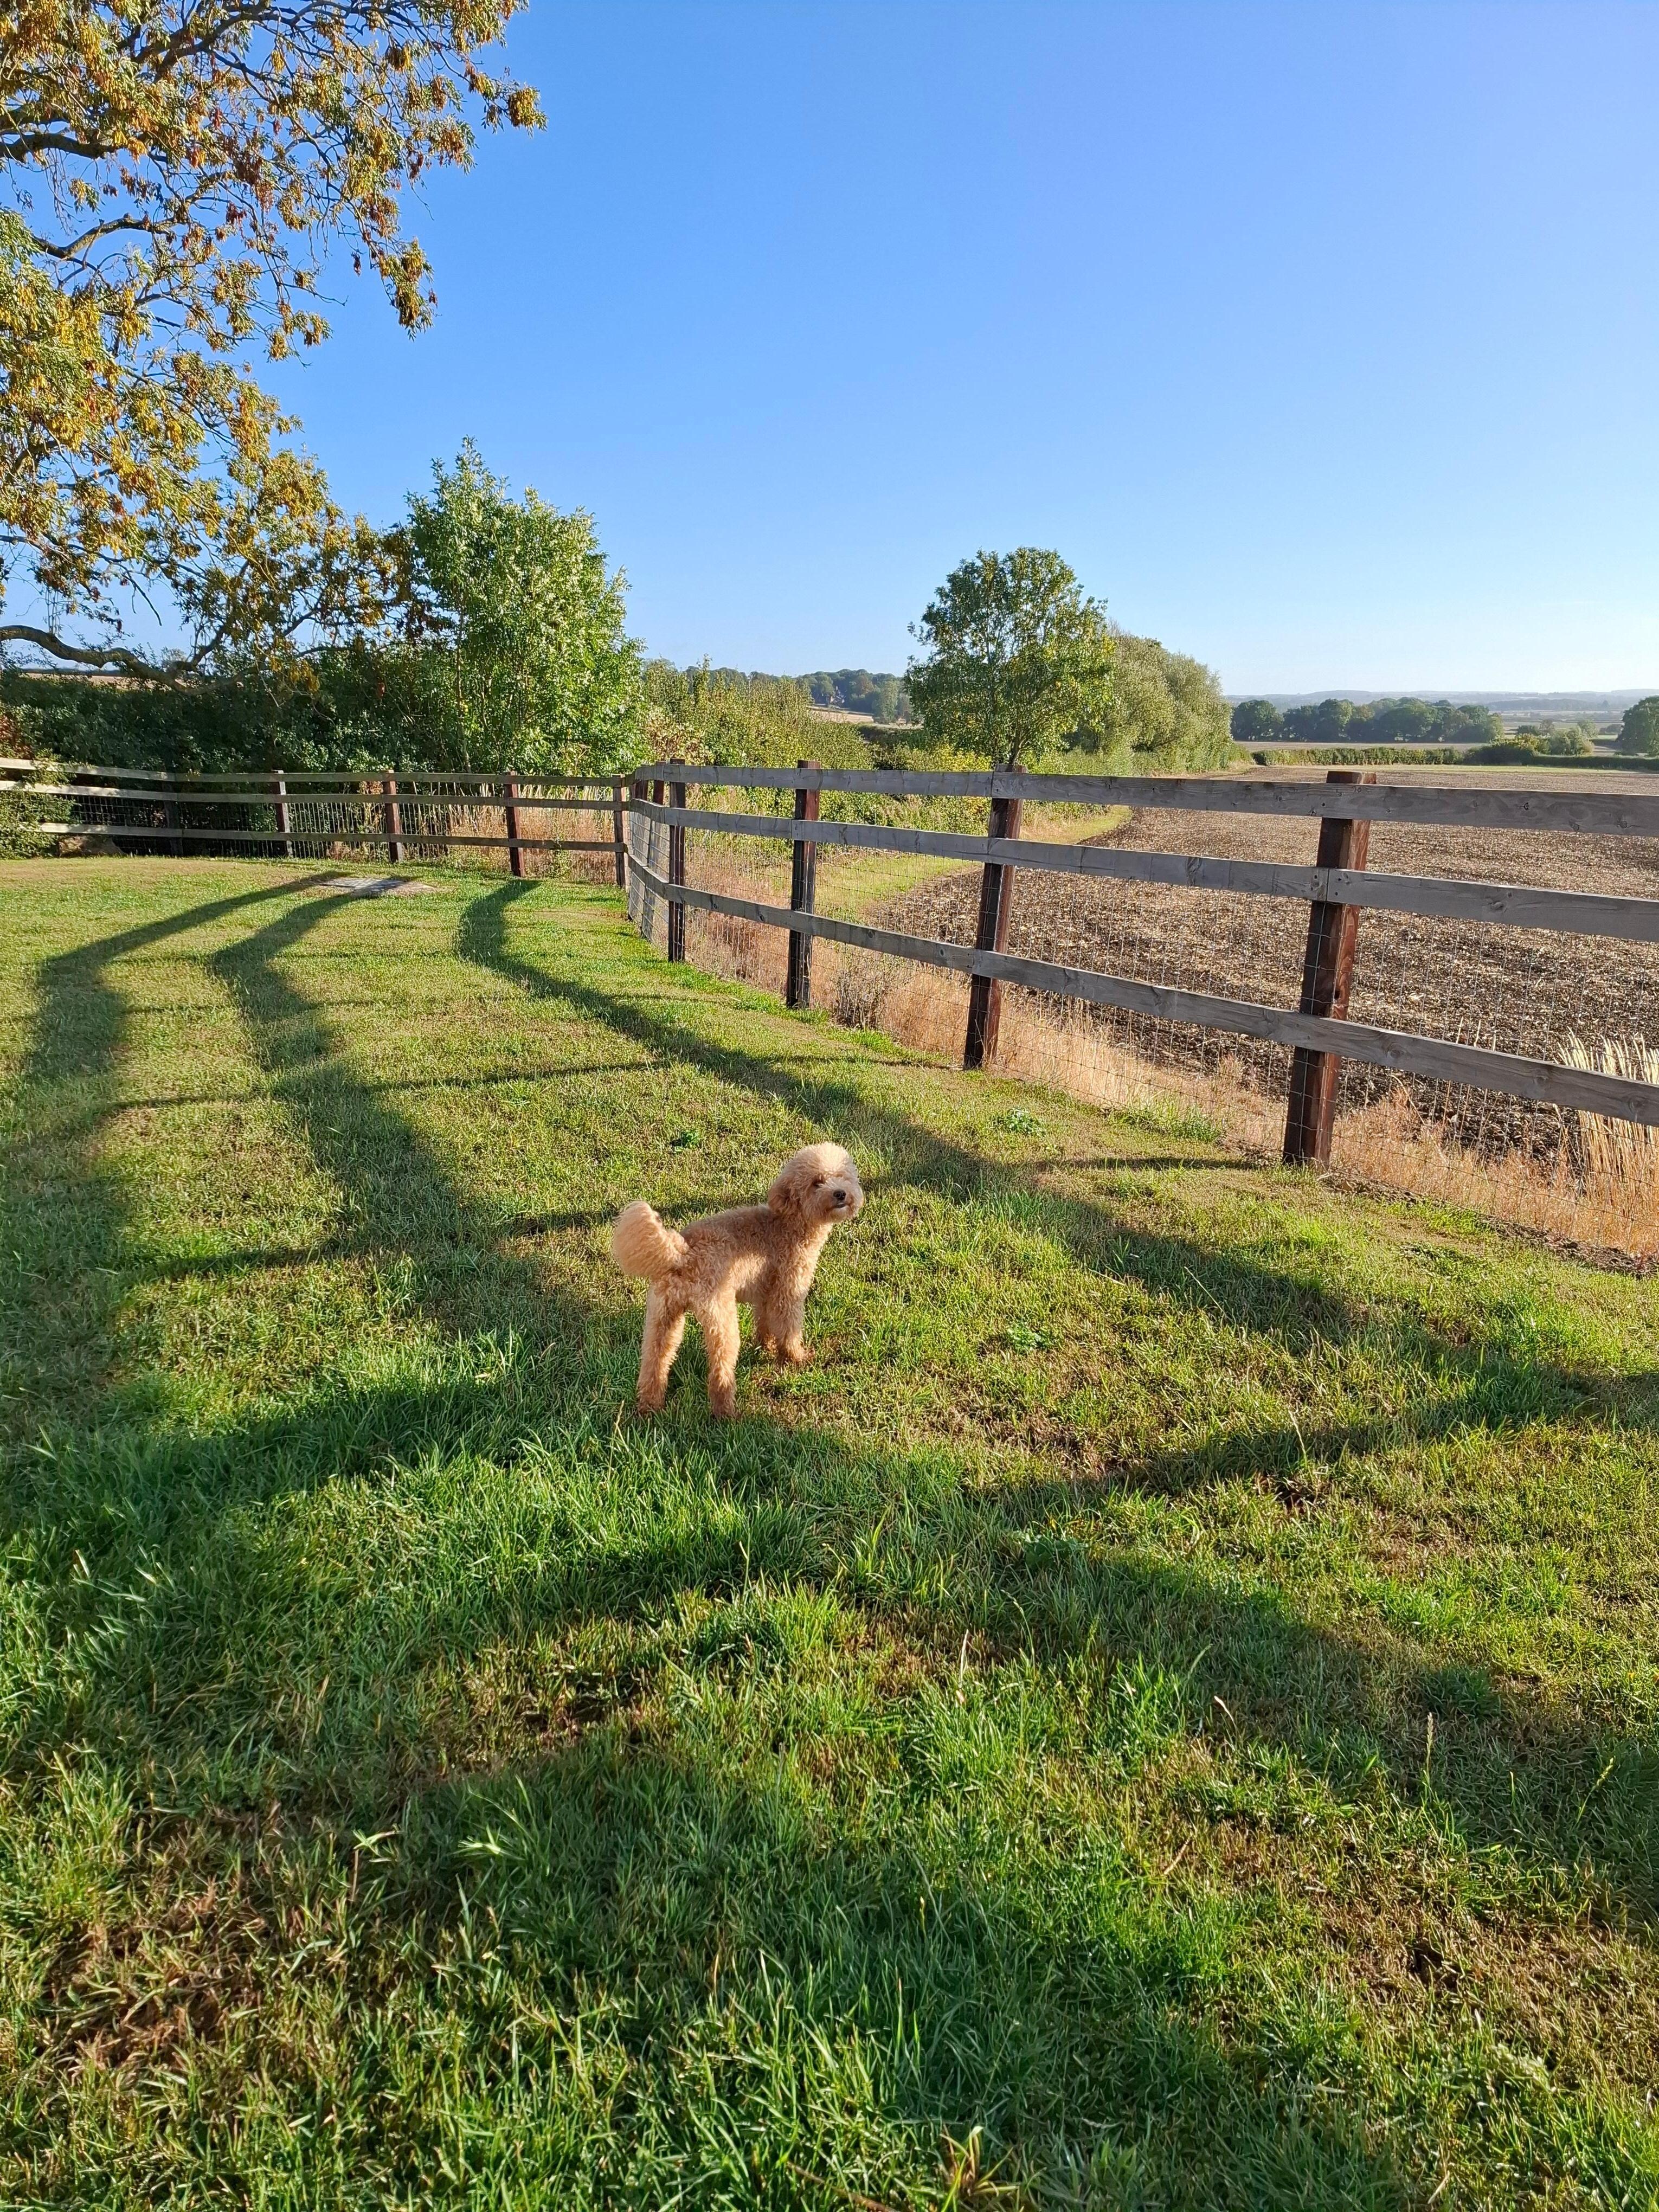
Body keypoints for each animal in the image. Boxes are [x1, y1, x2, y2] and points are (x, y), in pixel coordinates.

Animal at [610, 1142, 863, 1418]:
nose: (841, 1194)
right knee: (720, 1370)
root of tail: (682, 1252)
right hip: (722, 1318)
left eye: (842, 1176)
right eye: (816, 1183)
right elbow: (789, 1328)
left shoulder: (765, 1293)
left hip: (662, 1316)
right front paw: (796, 1358)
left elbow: (765, 1324)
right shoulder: (789, 1290)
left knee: (654, 1361)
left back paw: (649, 1406)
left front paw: (766, 1348)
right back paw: (727, 1413)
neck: (788, 1223)